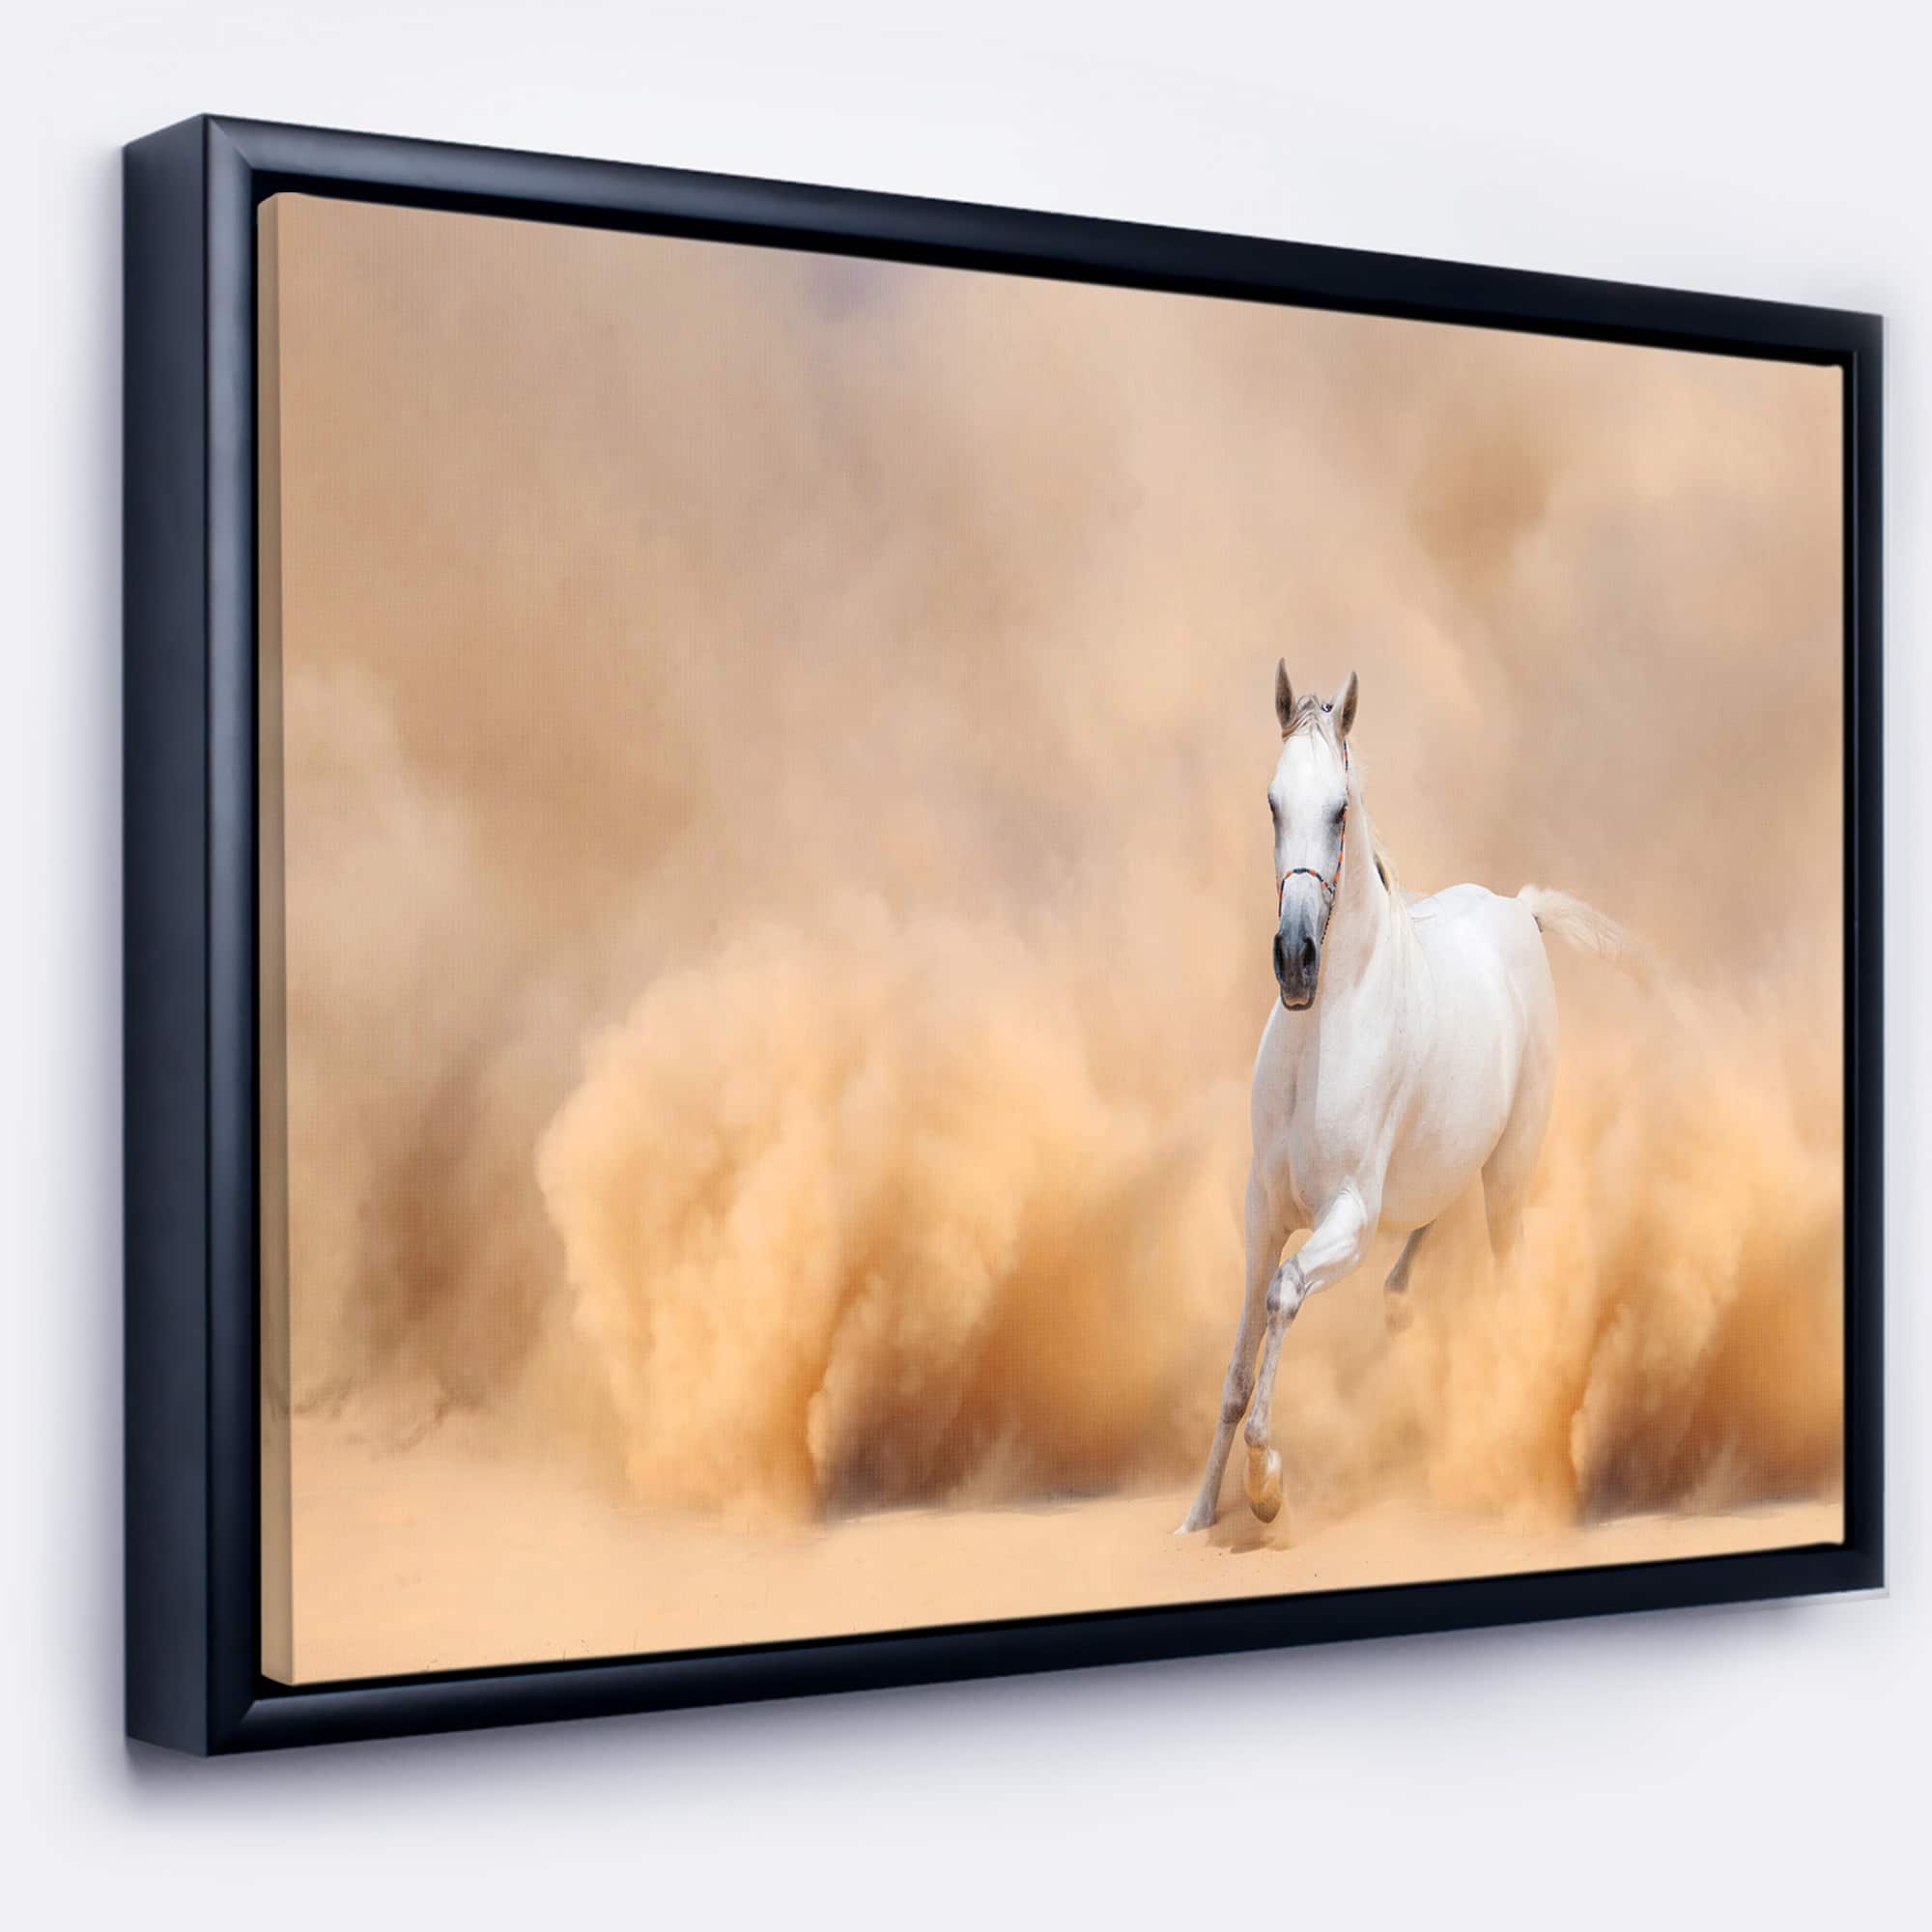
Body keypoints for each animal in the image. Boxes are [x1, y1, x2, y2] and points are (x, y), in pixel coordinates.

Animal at [1176, 659, 1642, 1535]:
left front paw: (1266, 1485)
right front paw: (1196, 1516)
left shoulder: (1348, 1220)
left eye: (1339, 810)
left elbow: (1284, 1297)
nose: (1296, 959)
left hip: (1507, 1178)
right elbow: (1234, 1372)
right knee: (1425, 1233)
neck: (1319, 1040)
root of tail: (1519, 910)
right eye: (1272, 802)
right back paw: (1400, 1309)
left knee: (1505, 1280)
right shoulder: (1262, 1212)